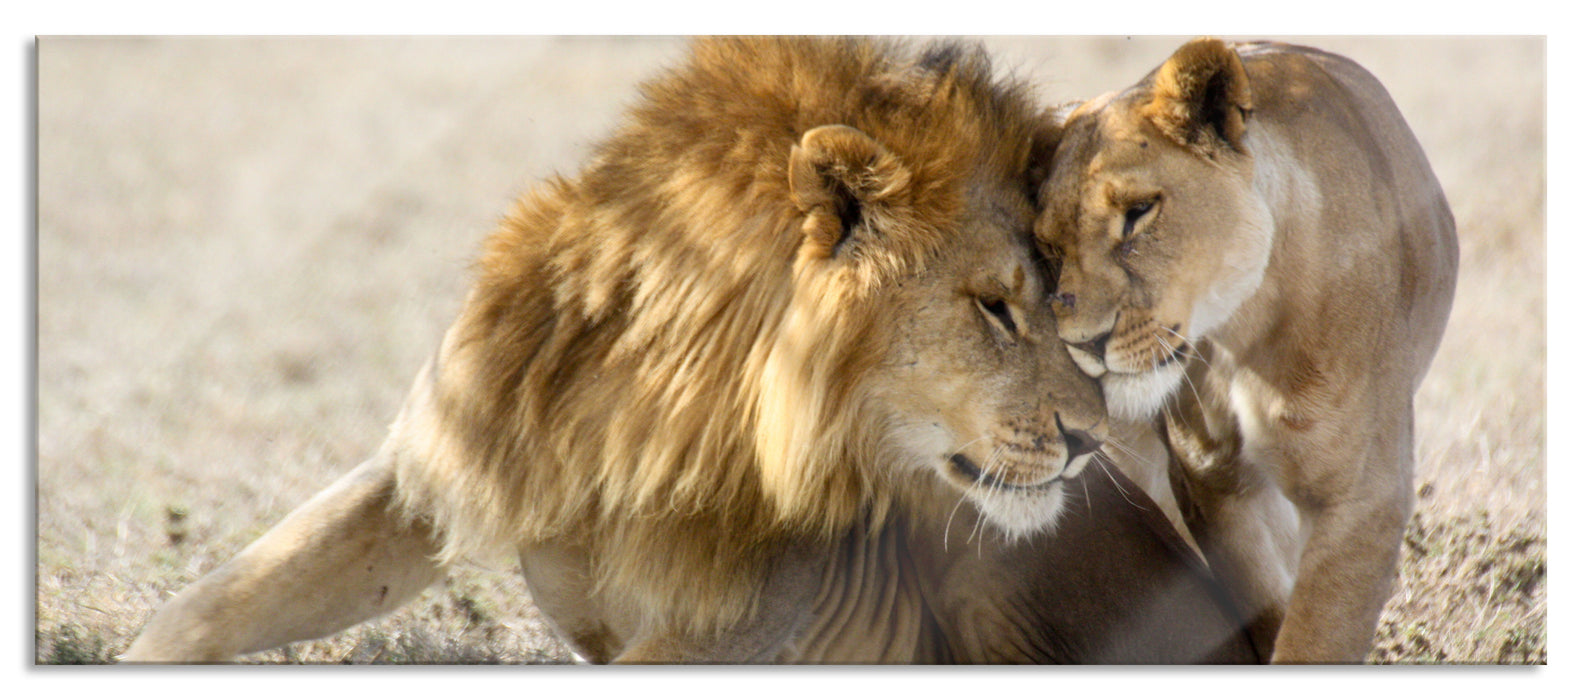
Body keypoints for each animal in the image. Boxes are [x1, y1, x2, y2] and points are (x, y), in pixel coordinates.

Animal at [123, 36, 1252, 661]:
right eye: (996, 308)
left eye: (1054, 296)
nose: (1092, 441)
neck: (654, 400)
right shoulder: (428, 465)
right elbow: (206, 610)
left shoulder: (752, 612)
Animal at [1037, 38, 1455, 661]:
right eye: (1047, 245)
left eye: (1138, 212)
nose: (1082, 341)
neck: (1244, 333)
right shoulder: (1210, 478)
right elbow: (1264, 606)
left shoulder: (1361, 500)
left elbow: (1314, 640)